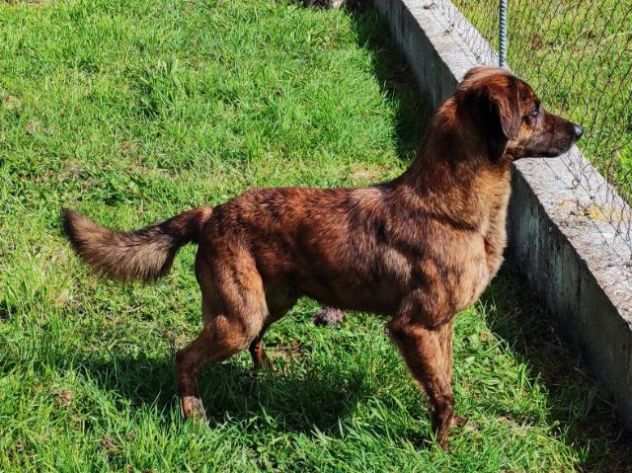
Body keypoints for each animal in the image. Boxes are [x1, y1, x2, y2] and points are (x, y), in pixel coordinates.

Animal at [61, 66, 580, 446]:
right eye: (534, 110)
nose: (579, 129)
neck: (451, 208)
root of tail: (210, 215)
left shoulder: (442, 327)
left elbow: (445, 384)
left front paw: (447, 436)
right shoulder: (414, 326)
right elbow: (443, 394)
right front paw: (440, 448)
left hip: (272, 301)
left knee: (254, 345)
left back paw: (267, 378)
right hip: (239, 315)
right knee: (185, 357)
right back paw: (195, 415)